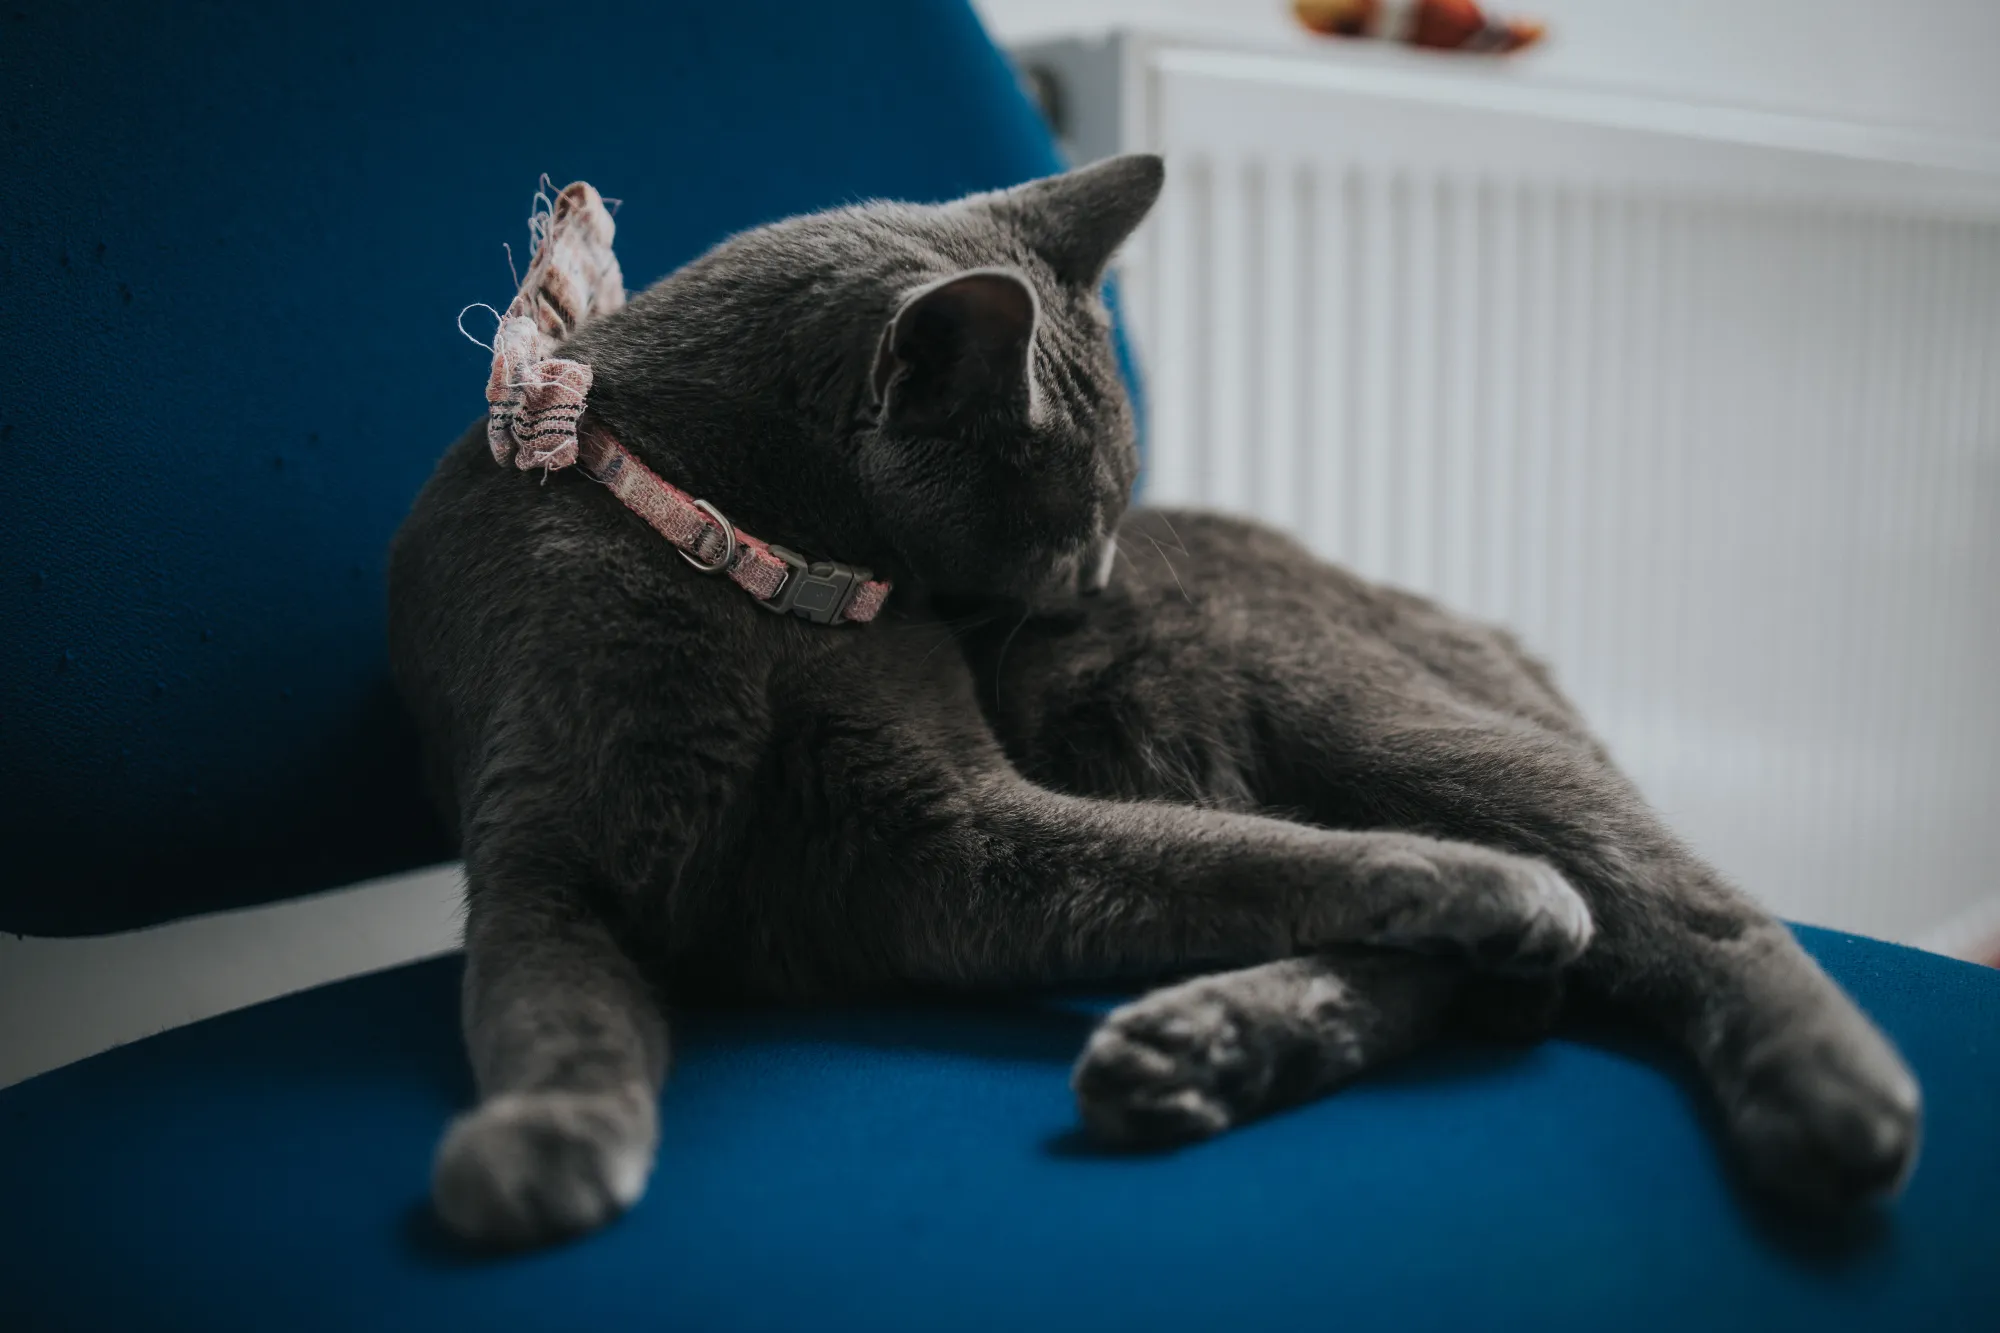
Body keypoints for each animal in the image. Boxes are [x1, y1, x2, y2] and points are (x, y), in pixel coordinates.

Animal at [386, 156, 1920, 1248]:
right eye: (1076, 520)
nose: (1098, 583)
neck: (750, 570)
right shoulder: (554, 854)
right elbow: (549, 1008)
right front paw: (543, 1142)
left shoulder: (952, 816)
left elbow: (1236, 855)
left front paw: (1483, 885)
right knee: (1477, 964)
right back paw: (1211, 1046)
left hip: (1356, 711)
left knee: (1686, 901)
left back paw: (1835, 1099)